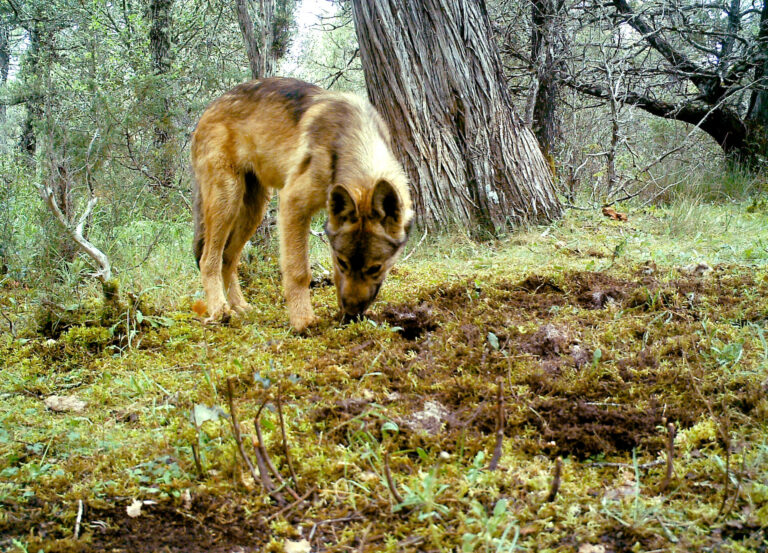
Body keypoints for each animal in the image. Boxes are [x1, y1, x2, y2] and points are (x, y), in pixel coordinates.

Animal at [191, 78, 413, 332]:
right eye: (342, 262)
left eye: (375, 268)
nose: (351, 314)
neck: (353, 139)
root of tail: (209, 108)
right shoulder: (293, 203)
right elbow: (299, 271)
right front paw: (302, 321)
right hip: (227, 201)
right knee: (208, 259)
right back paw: (219, 311)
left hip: (254, 209)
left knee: (228, 259)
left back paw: (241, 307)